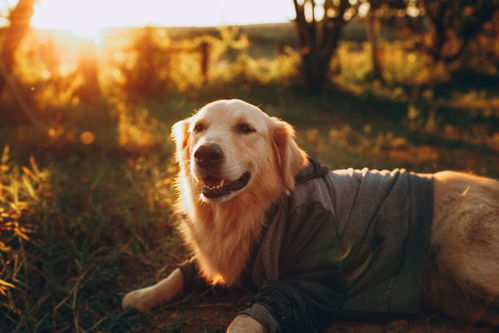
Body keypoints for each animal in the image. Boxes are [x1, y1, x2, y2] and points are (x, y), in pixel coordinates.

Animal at [122, 99, 499, 332]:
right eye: (200, 127)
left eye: (245, 128)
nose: (205, 154)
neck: (261, 209)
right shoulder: (227, 261)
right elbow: (180, 273)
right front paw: (143, 295)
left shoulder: (313, 282)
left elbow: (244, 320)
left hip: (461, 250)